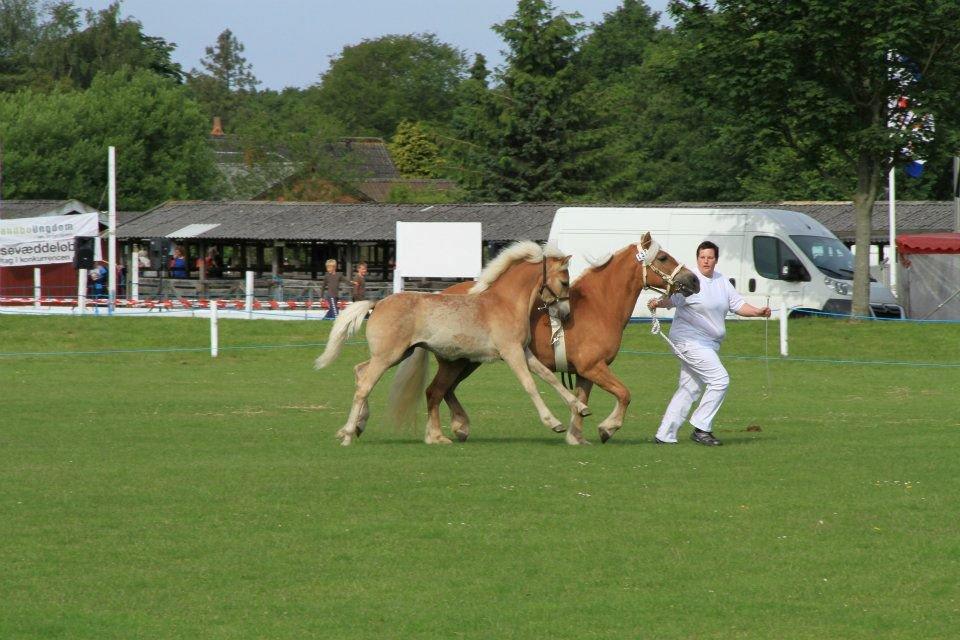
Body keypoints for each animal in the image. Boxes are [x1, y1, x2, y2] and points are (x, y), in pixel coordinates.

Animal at [316, 240, 584, 444]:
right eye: (564, 282)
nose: (566, 314)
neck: (505, 303)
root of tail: (377, 303)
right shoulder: (511, 353)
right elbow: (530, 384)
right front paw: (554, 423)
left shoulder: (524, 351)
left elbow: (548, 376)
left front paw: (579, 406)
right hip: (388, 356)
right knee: (365, 386)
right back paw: (348, 434)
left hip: (398, 354)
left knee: (360, 371)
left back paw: (360, 426)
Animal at [436, 234, 696, 444]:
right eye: (662, 257)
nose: (694, 280)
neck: (599, 306)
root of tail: (440, 295)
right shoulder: (593, 367)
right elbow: (624, 394)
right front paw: (607, 428)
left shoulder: (584, 373)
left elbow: (581, 399)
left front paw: (576, 436)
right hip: (456, 362)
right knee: (438, 391)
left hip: (468, 361)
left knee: (446, 390)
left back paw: (459, 427)